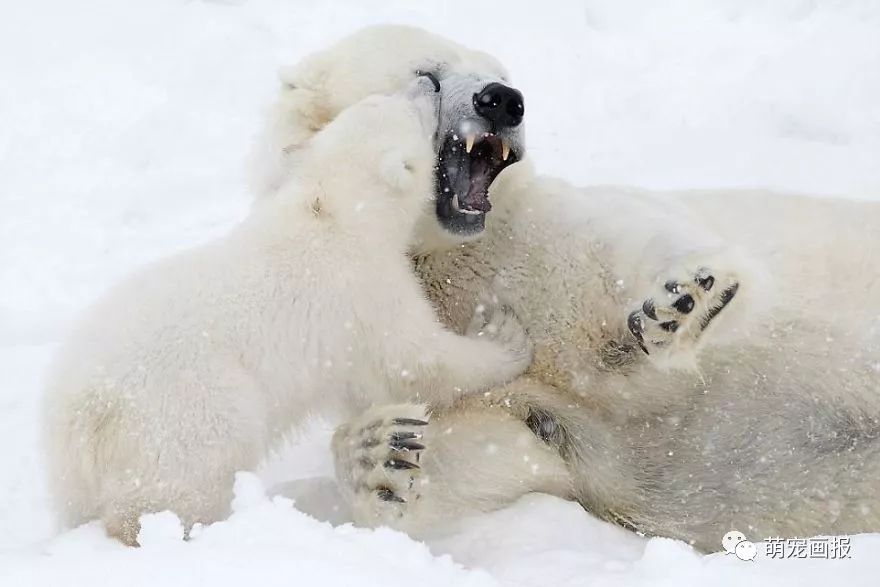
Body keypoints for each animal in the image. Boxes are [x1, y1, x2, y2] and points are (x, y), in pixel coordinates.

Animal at [41, 79, 528, 548]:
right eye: (407, 108)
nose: (429, 82)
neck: (331, 211)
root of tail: (87, 411)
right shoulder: (364, 291)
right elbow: (416, 362)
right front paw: (503, 335)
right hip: (189, 413)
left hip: (71, 469)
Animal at [254, 25, 880, 552]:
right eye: (427, 74)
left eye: (496, 70)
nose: (502, 100)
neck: (458, 260)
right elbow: (492, 448)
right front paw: (382, 453)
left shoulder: (544, 235)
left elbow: (640, 243)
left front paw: (686, 302)